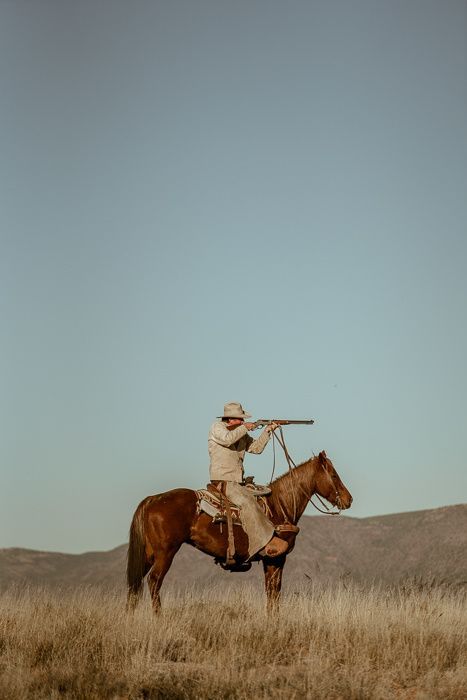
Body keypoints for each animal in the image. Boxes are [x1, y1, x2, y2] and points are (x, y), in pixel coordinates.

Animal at [126, 452, 352, 608]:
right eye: (333, 475)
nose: (348, 499)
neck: (279, 506)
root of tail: (152, 499)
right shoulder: (276, 558)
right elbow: (274, 592)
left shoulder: (270, 560)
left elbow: (271, 592)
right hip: (165, 553)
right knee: (154, 582)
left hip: (148, 554)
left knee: (134, 584)